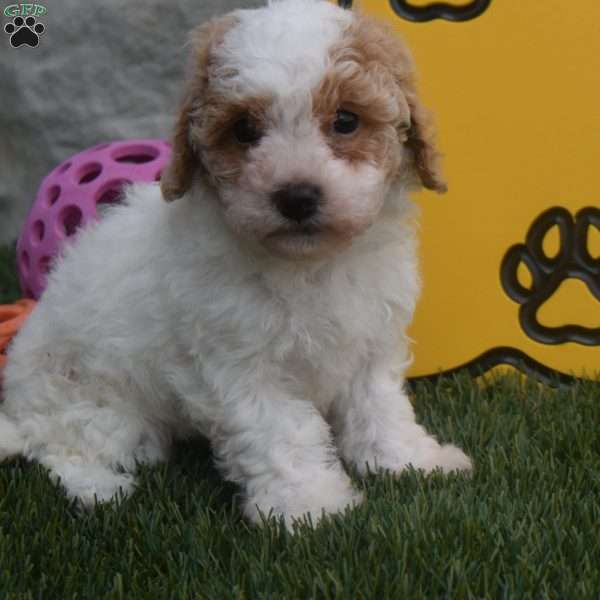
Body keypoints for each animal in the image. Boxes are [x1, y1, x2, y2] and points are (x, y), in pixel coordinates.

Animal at [0, 0, 472, 524]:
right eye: (245, 130)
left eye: (347, 120)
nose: (297, 197)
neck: (309, 264)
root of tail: (18, 407)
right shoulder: (241, 364)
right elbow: (282, 433)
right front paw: (308, 505)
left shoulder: (370, 339)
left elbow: (380, 406)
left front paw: (410, 461)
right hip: (97, 406)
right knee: (58, 450)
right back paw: (100, 489)